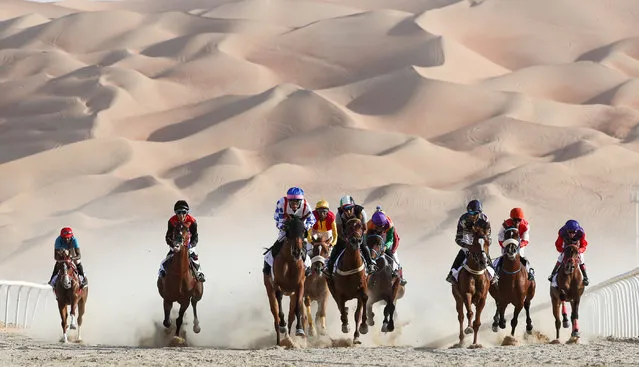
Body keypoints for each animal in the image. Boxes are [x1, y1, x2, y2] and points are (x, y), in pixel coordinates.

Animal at [262, 216, 308, 344]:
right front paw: (283, 326)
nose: (297, 252)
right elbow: (280, 308)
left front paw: (299, 330)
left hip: (292, 293)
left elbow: (297, 307)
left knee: (291, 315)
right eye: (289, 230)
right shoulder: (277, 285)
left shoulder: (300, 285)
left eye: (303, 230)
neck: (290, 260)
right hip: (269, 289)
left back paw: (289, 338)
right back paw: (279, 340)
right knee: (275, 315)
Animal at [452, 220, 492, 350]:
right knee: (460, 316)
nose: (483, 261)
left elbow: (477, 322)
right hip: (457, 297)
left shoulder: (483, 298)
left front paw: (475, 343)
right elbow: (469, 313)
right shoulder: (466, 294)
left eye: (487, 242)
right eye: (474, 243)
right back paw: (460, 341)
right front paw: (468, 329)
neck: (476, 273)